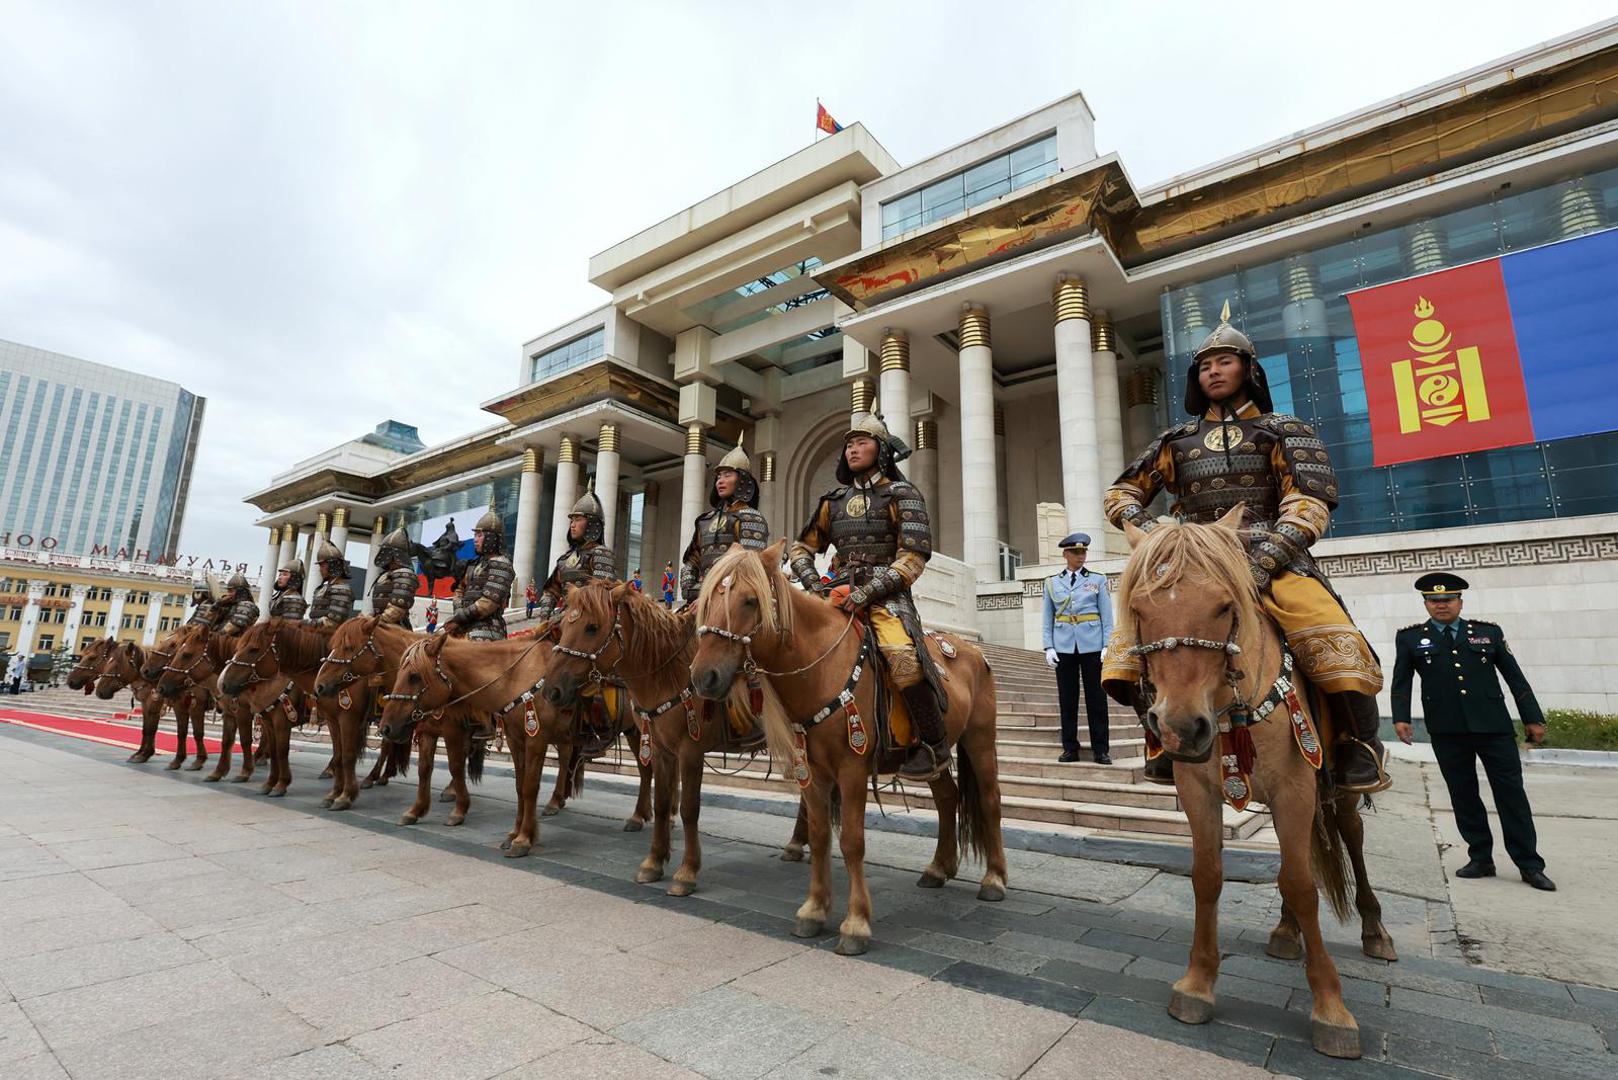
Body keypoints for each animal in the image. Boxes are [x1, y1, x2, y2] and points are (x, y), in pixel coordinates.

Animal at [550, 582, 809, 893]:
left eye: (591, 627)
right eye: (563, 626)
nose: (553, 689)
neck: (667, 673)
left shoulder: (690, 751)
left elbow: (689, 808)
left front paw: (687, 872)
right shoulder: (661, 748)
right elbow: (661, 803)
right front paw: (654, 862)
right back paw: (796, 843)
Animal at [686, 540, 1009, 952]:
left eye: (749, 601)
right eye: (707, 599)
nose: (704, 677)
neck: (820, 667)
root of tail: (973, 652)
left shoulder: (852, 768)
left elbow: (853, 841)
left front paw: (855, 924)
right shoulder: (811, 770)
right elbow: (821, 835)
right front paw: (813, 910)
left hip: (979, 738)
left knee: (989, 799)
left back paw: (994, 880)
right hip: (936, 753)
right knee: (946, 796)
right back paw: (939, 868)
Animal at [1119, 508, 1397, 1062]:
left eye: (1226, 605)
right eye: (1138, 607)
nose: (1180, 729)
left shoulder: (1296, 786)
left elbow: (1302, 884)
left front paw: (1330, 1008)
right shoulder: (1198, 790)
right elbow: (1208, 876)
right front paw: (1197, 984)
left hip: (1337, 788)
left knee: (1350, 839)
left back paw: (1374, 929)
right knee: (1303, 854)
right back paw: (1287, 931)